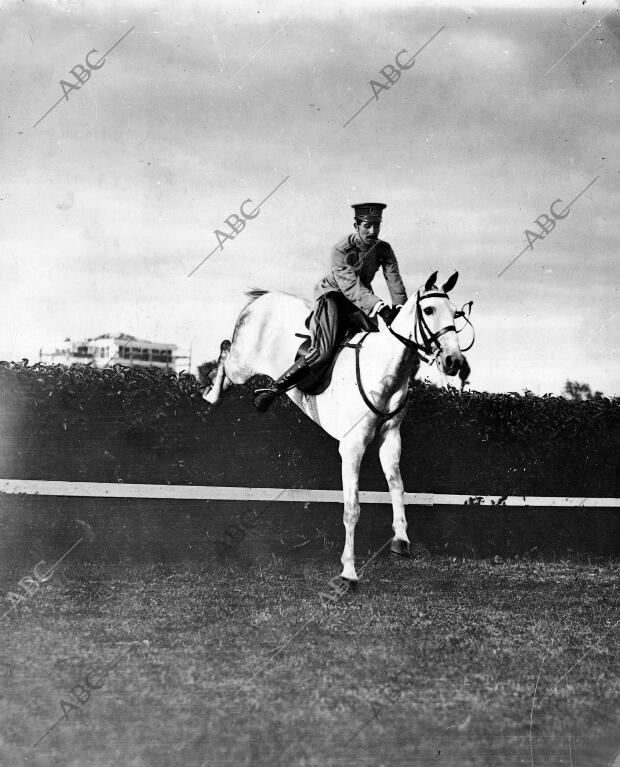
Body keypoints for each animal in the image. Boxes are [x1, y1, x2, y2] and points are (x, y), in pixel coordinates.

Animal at [203, 272, 470, 580]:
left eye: (456, 313)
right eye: (428, 310)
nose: (453, 361)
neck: (384, 369)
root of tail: (265, 297)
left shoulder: (391, 438)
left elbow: (397, 486)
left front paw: (401, 540)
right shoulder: (352, 447)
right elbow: (352, 508)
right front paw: (349, 570)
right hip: (242, 365)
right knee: (225, 351)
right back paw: (211, 394)